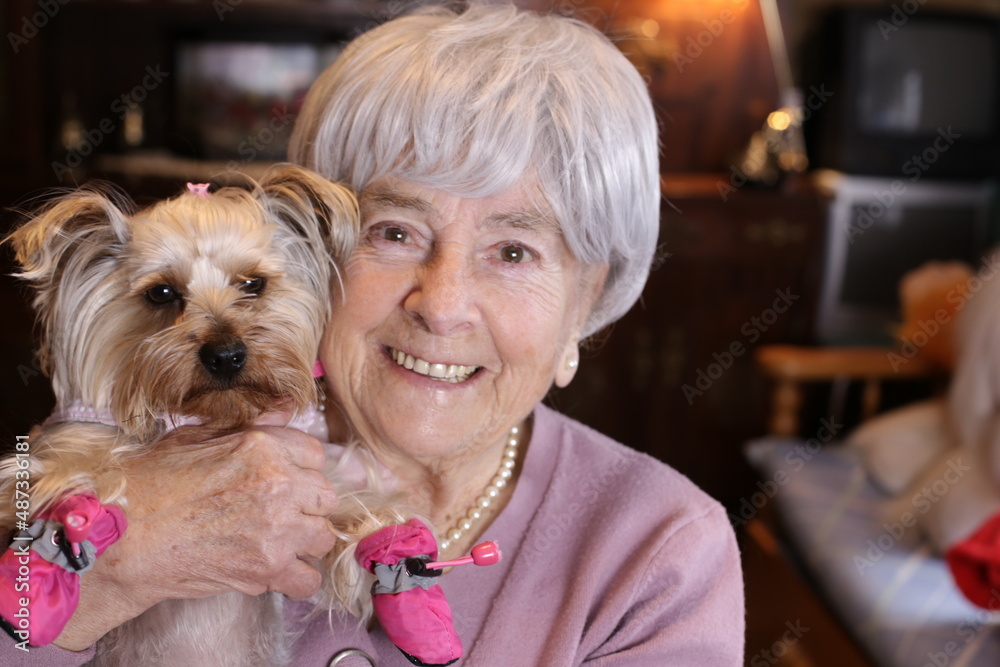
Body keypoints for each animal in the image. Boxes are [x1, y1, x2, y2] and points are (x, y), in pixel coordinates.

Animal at [0, 166, 406, 664]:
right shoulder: (70, 433)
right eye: (161, 293)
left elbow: (344, 501)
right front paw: (78, 494)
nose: (226, 355)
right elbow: (75, 458)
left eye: (253, 284)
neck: (209, 415)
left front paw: (378, 544)